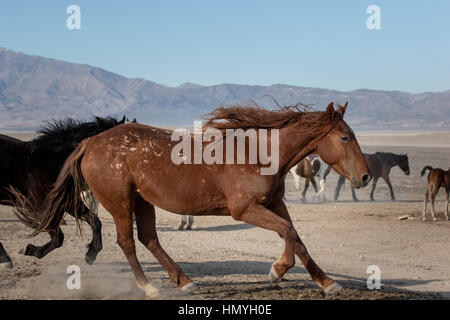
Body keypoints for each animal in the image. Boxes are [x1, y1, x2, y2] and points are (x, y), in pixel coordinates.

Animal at [0, 115, 126, 270]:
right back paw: (6, 259)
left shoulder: (66, 201)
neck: (52, 161)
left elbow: (95, 221)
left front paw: (91, 254)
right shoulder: (42, 206)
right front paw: (29, 250)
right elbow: (58, 237)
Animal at [22, 100, 370, 298]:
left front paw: (327, 282)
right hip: (119, 201)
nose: (365, 177)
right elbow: (288, 233)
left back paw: (185, 281)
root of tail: (89, 143)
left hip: (142, 201)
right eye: (344, 137)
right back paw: (149, 287)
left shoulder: (274, 205)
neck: (259, 155)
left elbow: (297, 239)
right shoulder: (245, 210)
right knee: (127, 242)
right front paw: (276, 270)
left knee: (149, 238)